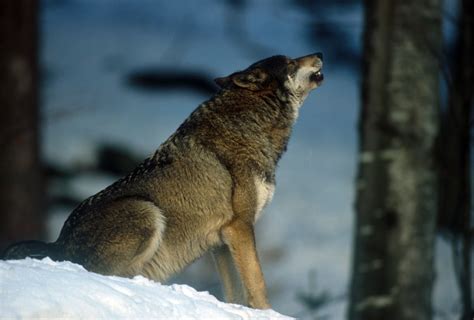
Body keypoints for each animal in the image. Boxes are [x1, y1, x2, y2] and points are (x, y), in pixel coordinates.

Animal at [3, 53, 322, 310]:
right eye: (291, 62)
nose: (319, 54)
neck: (251, 124)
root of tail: (59, 242)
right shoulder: (241, 226)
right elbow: (258, 283)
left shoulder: (223, 240)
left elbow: (235, 290)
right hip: (146, 211)